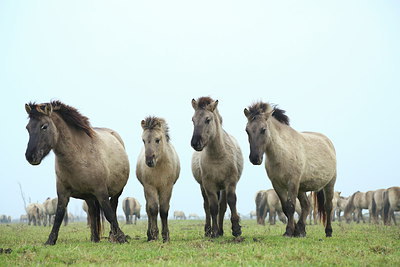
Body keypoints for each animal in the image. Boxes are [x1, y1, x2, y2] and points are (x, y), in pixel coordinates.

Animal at [24, 101, 130, 245]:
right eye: (27, 128)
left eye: (44, 126)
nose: (30, 156)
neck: (78, 156)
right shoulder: (63, 193)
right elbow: (59, 216)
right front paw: (50, 240)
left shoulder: (101, 192)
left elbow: (110, 214)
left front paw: (121, 238)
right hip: (89, 197)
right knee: (92, 212)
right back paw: (94, 238)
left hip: (116, 192)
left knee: (112, 207)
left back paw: (111, 237)